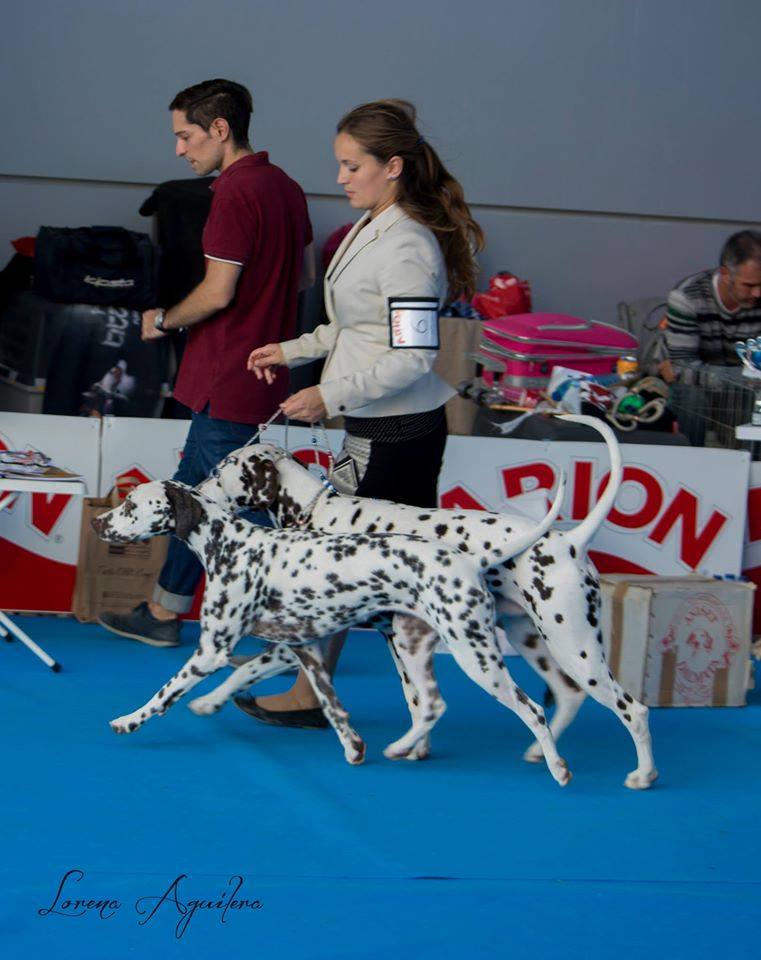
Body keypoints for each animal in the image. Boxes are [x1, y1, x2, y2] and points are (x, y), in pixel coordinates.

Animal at [93, 481, 572, 785]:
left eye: (132, 504)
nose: (99, 523)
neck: (232, 546)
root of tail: (471, 560)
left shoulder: (211, 651)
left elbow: (163, 695)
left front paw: (128, 721)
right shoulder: (304, 651)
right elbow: (333, 709)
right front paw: (354, 749)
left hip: (476, 657)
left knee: (535, 710)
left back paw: (557, 768)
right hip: (414, 648)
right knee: (433, 706)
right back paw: (401, 748)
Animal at [198, 413, 657, 790]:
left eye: (221, 470)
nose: (196, 487)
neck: (318, 514)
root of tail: (569, 540)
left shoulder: (307, 639)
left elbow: (247, 668)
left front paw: (208, 699)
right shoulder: (396, 642)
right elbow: (418, 702)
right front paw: (415, 747)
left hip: (572, 647)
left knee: (632, 709)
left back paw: (642, 774)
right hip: (530, 642)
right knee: (566, 696)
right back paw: (541, 754)